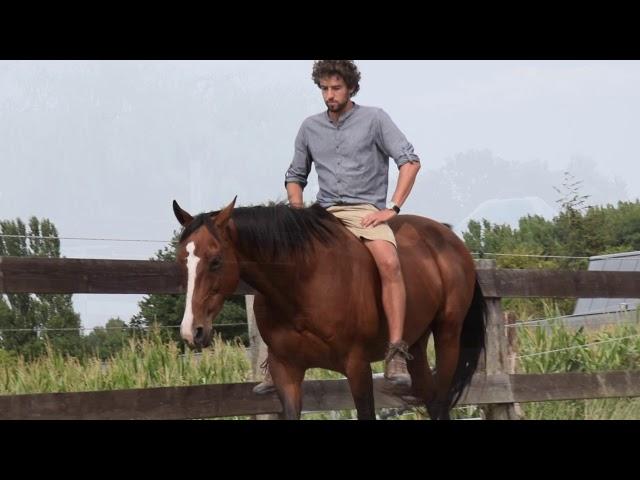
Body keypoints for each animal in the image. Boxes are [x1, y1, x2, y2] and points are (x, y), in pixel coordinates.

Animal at [171, 197, 484, 418]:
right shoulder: (286, 371)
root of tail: (450, 239)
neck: (302, 286)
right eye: (181, 260)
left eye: (215, 261)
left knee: (440, 402)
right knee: (431, 401)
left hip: (447, 335)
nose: (191, 331)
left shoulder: (357, 366)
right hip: (417, 346)